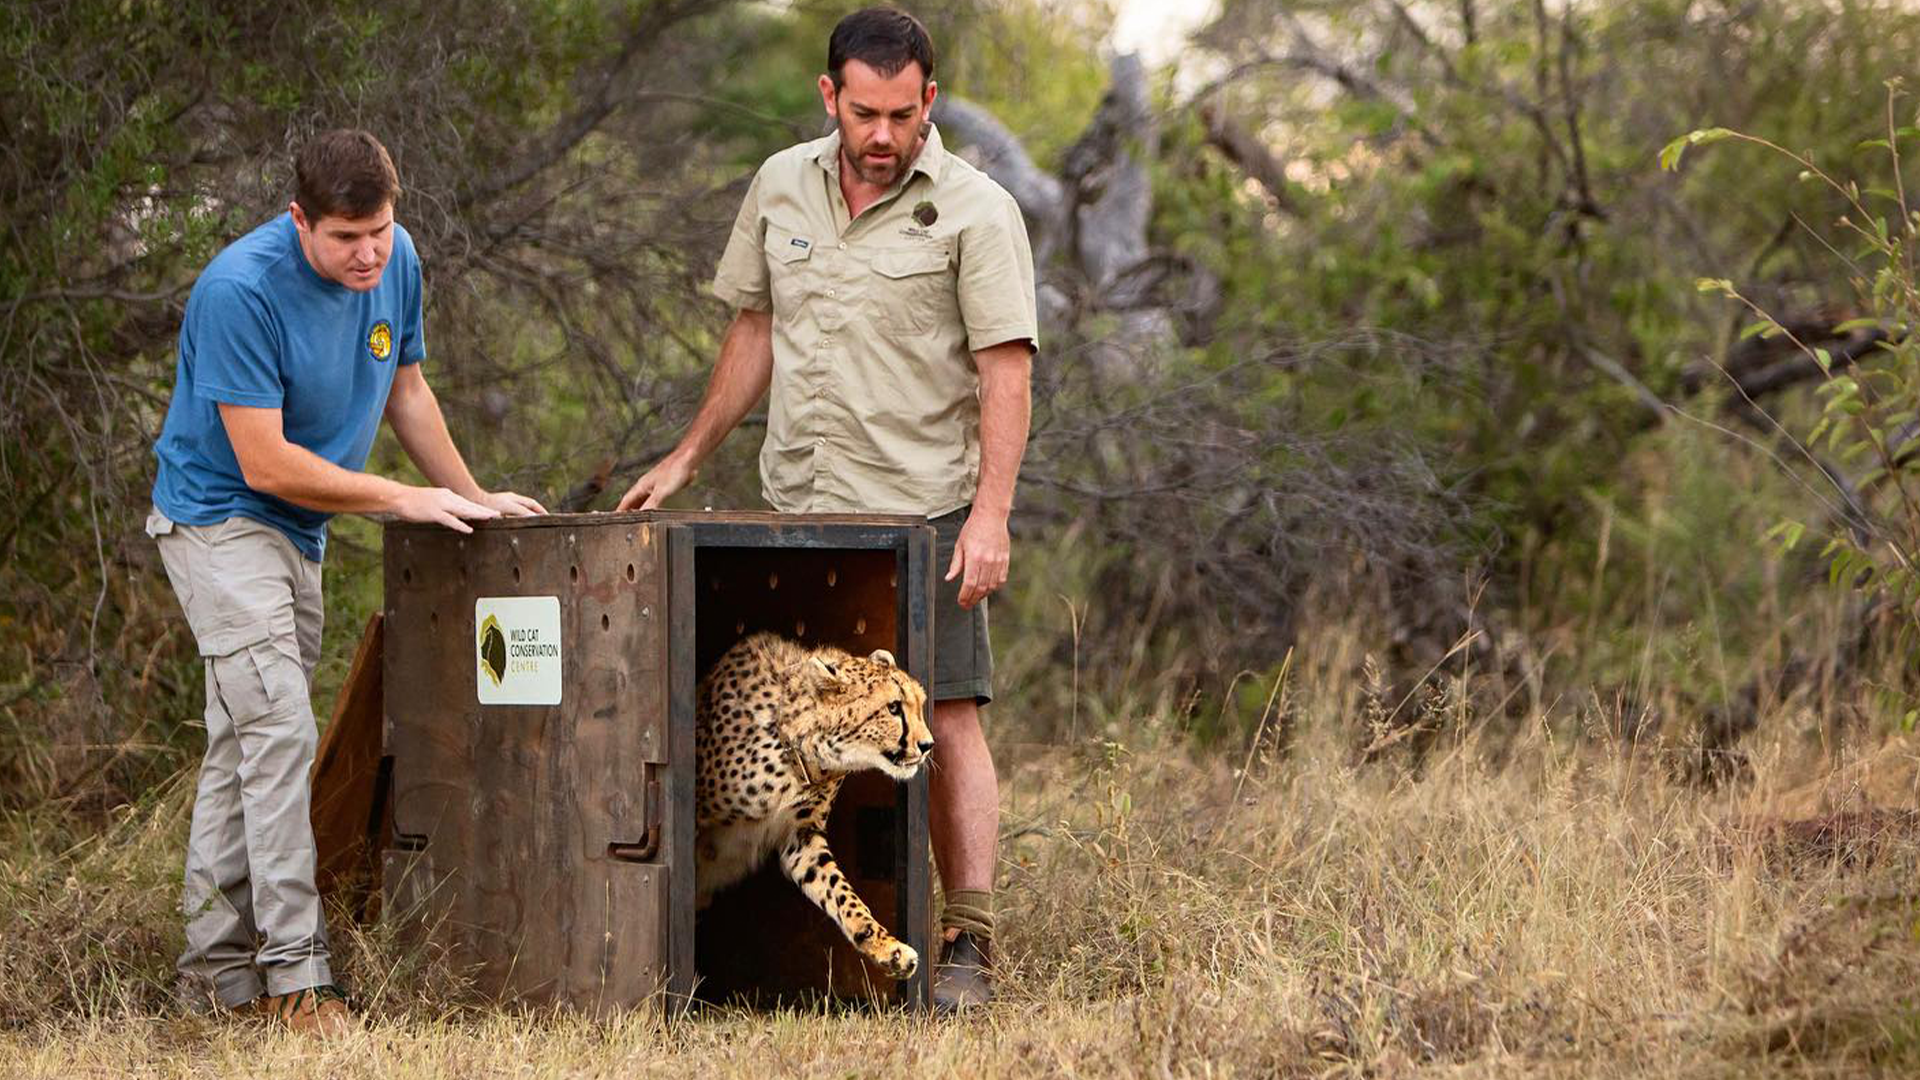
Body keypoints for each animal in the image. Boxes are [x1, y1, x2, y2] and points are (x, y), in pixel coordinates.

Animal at [694, 631, 933, 979]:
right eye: (893, 707)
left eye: (919, 705)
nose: (928, 745)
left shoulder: (801, 836)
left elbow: (839, 890)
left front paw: (884, 945)